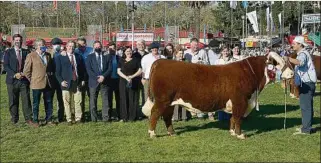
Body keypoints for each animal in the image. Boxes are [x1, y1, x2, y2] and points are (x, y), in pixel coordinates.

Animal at [142, 52, 292, 139]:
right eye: (277, 63)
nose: (291, 73)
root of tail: (160, 61)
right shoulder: (240, 101)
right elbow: (238, 118)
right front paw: (240, 135)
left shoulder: (238, 103)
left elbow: (233, 118)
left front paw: (232, 132)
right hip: (162, 100)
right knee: (155, 114)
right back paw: (152, 134)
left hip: (171, 102)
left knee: (167, 117)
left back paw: (172, 133)